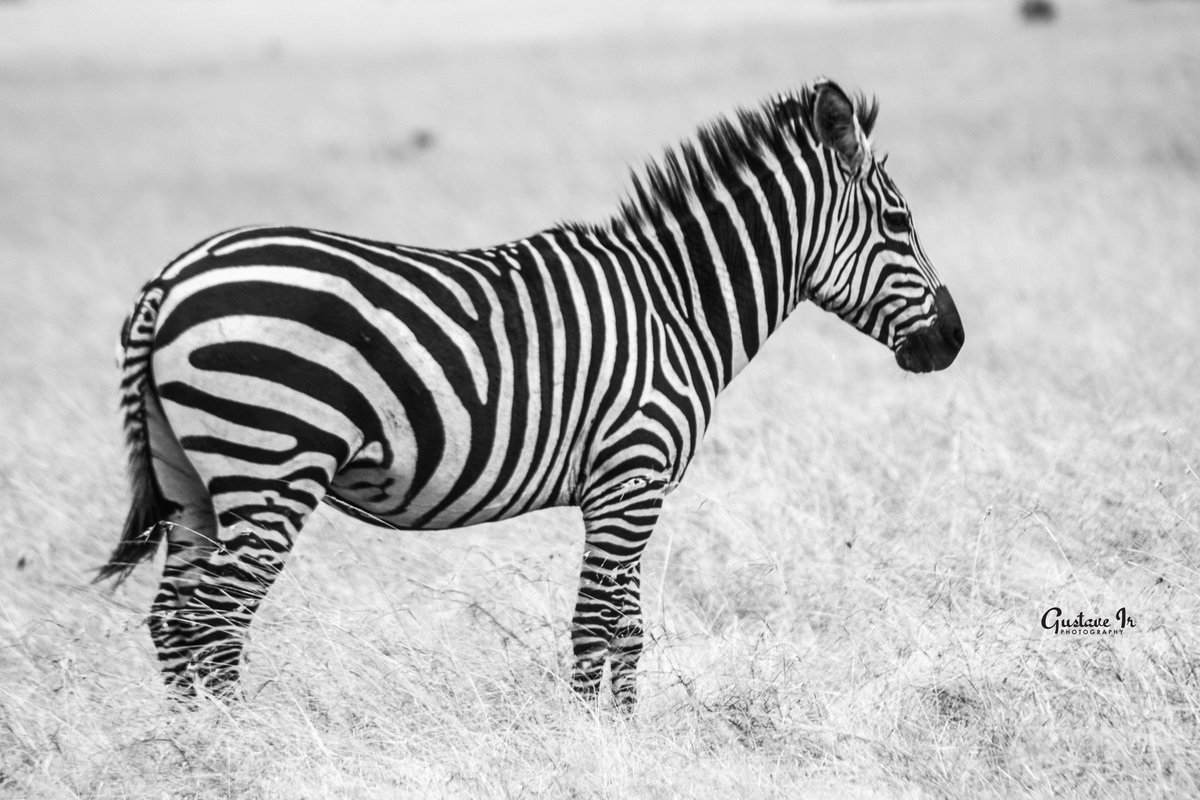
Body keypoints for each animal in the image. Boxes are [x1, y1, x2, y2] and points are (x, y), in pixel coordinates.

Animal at [100, 79, 964, 705]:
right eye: (898, 222)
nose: (953, 341)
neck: (677, 301)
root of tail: (171, 279)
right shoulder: (631, 477)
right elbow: (599, 625)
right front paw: (593, 737)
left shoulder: (631, 489)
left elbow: (626, 627)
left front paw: (621, 734)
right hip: (271, 459)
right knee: (216, 619)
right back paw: (237, 745)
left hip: (192, 479)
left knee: (174, 619)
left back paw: (196, 748)